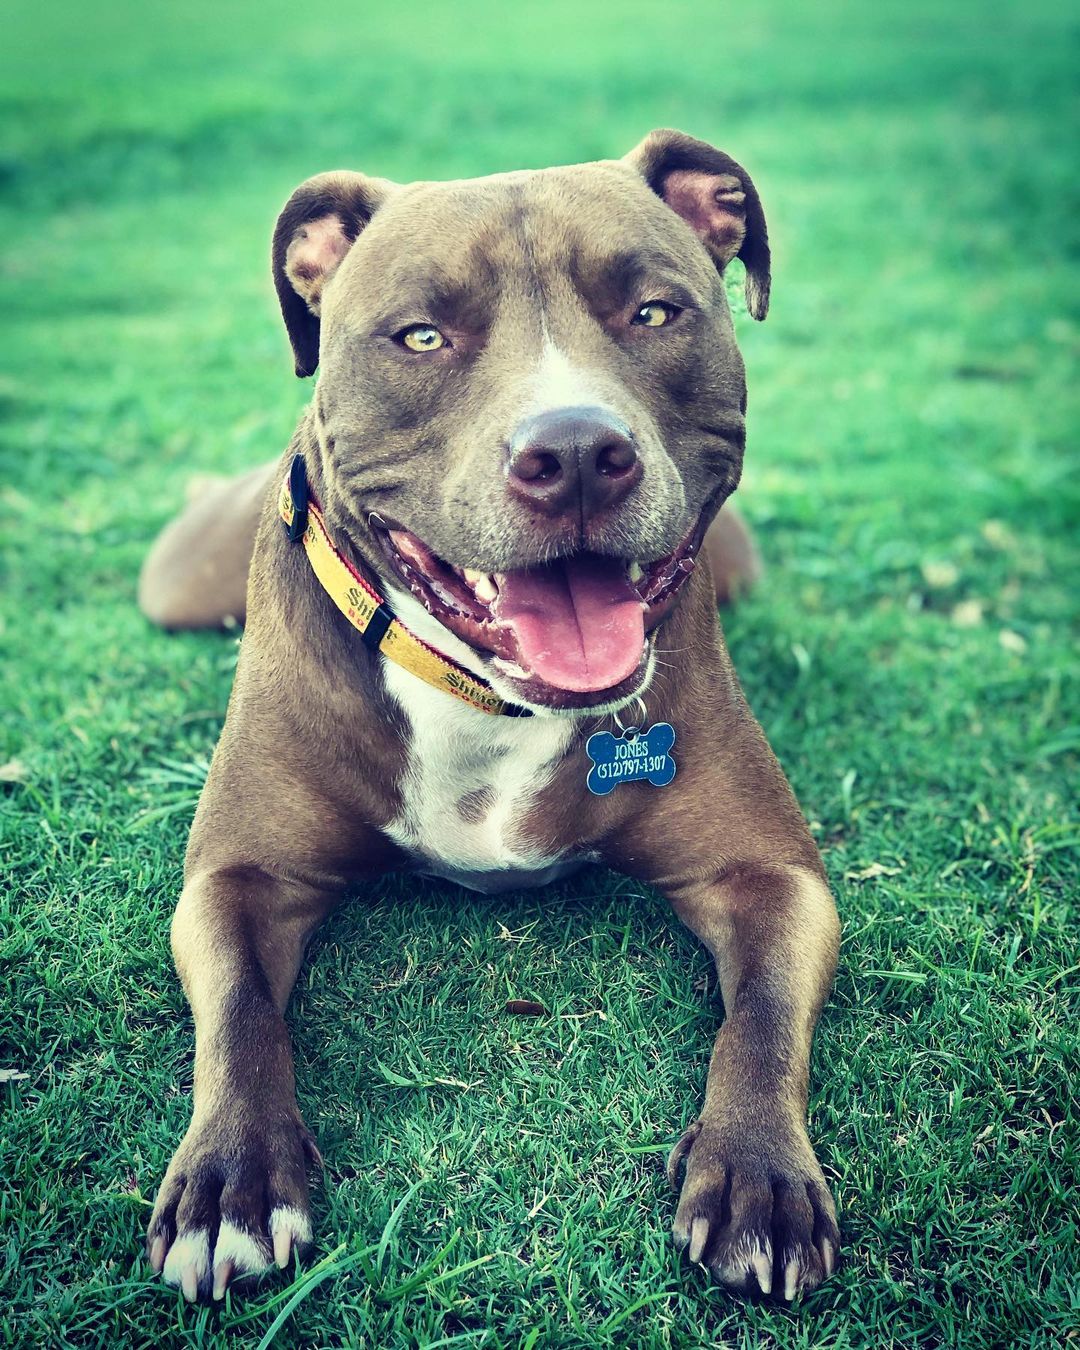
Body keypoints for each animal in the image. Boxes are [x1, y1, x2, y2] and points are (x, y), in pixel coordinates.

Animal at [139, 131, 837, 1301]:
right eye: (421, 336)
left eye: (654, 312)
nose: (577, 453)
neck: (487, 691)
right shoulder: (240, 876)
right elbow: (238, 1012)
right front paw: (231, 1180)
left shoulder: (770, 875)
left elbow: (763, 1019)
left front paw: (759, 1178)